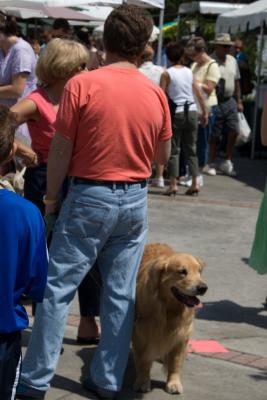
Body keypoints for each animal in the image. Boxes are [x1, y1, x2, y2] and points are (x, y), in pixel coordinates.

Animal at [133, 244, 208, 394]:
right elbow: (144, 360)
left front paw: (174, 382)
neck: (169, 309)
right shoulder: (142, 334)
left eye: (199, 271)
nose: (203, 288)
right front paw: (143, 381)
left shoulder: (182, 335)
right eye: (182, 272)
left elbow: (175, 362)